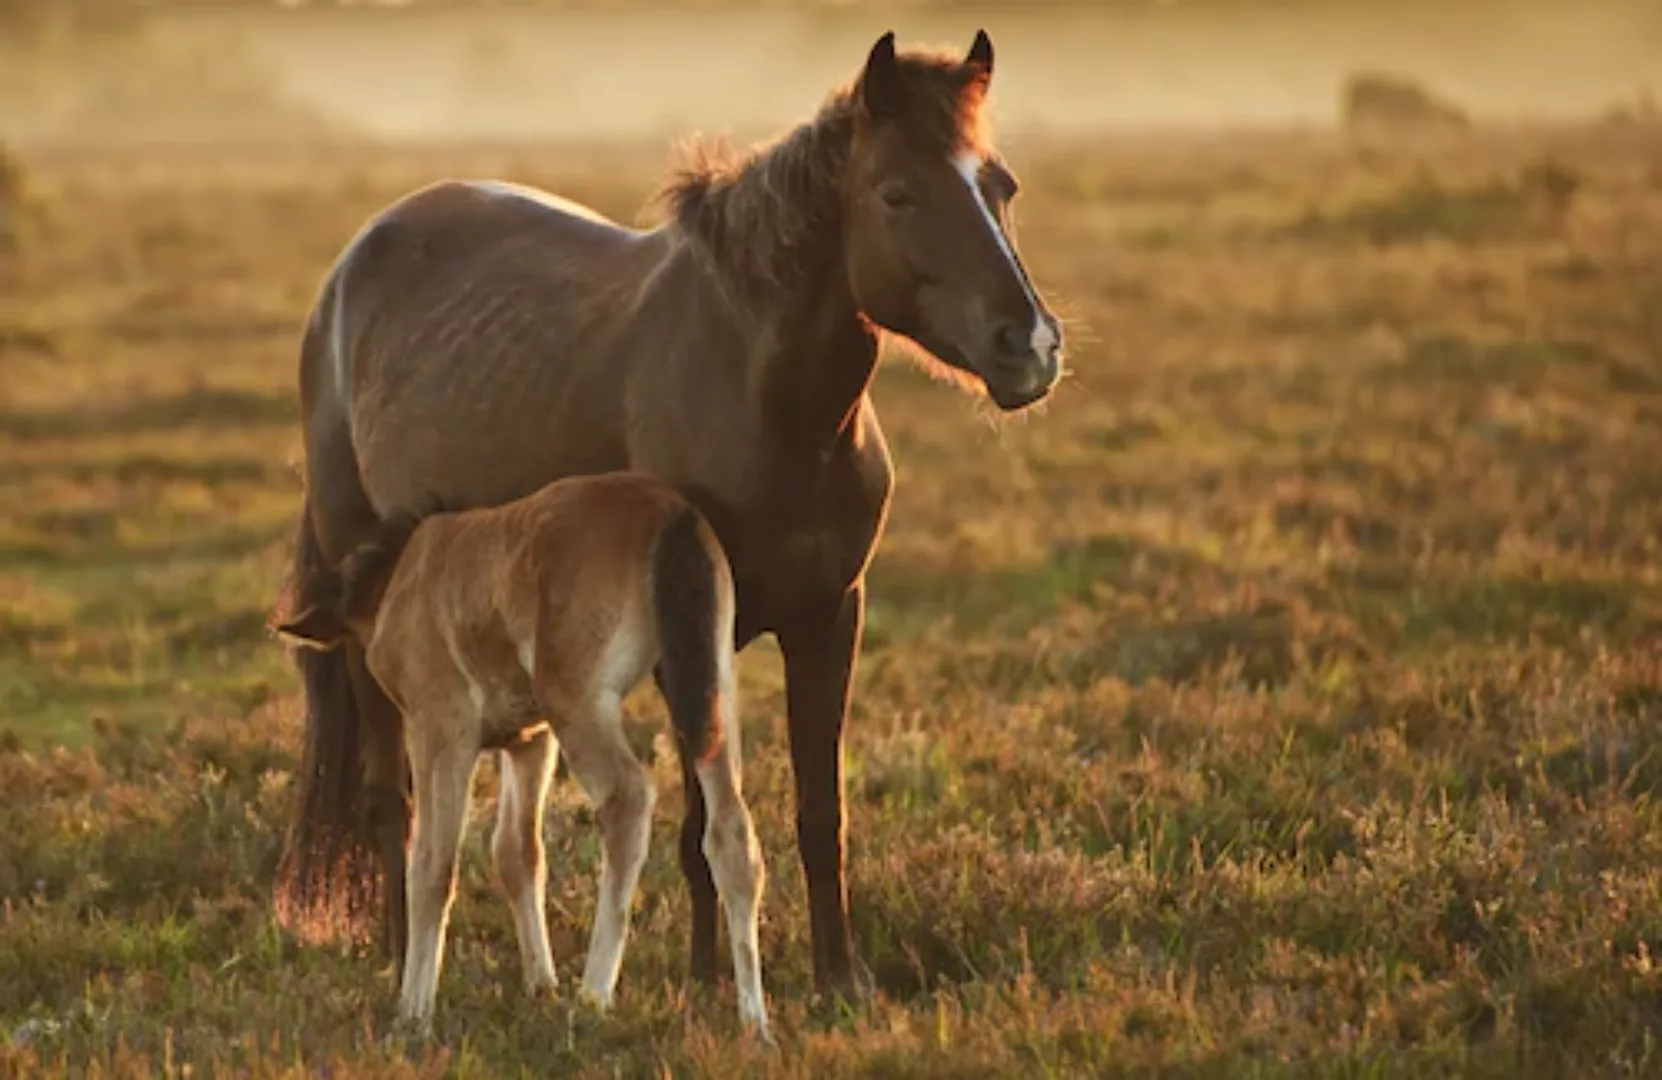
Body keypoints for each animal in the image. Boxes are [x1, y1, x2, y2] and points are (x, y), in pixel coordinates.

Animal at [275, 468, 767, 1036]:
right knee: (731, 829)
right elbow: (517, 852)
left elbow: (433, 863)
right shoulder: (529, 739)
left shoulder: (442, 729)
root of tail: (672, 515)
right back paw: (755, 1021)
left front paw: (414, 1012)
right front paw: (541, 984)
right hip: (711, 689)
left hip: (579, 701)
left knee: (628, 799)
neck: (401, 574)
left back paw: (594, 995)